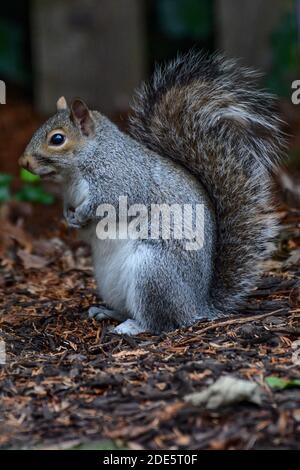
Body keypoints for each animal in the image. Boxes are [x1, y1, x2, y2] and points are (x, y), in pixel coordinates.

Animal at [19, 52, 284, 334]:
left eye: (57, 139)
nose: (24, 162)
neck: (81, 167)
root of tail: (198, 305)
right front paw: (68, 217)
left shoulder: (122, 181)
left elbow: (107, 204)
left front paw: (80, 214)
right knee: (130, 307)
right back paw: (107, 312)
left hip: (153, 272)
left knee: (160, 321)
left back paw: (131, 327)